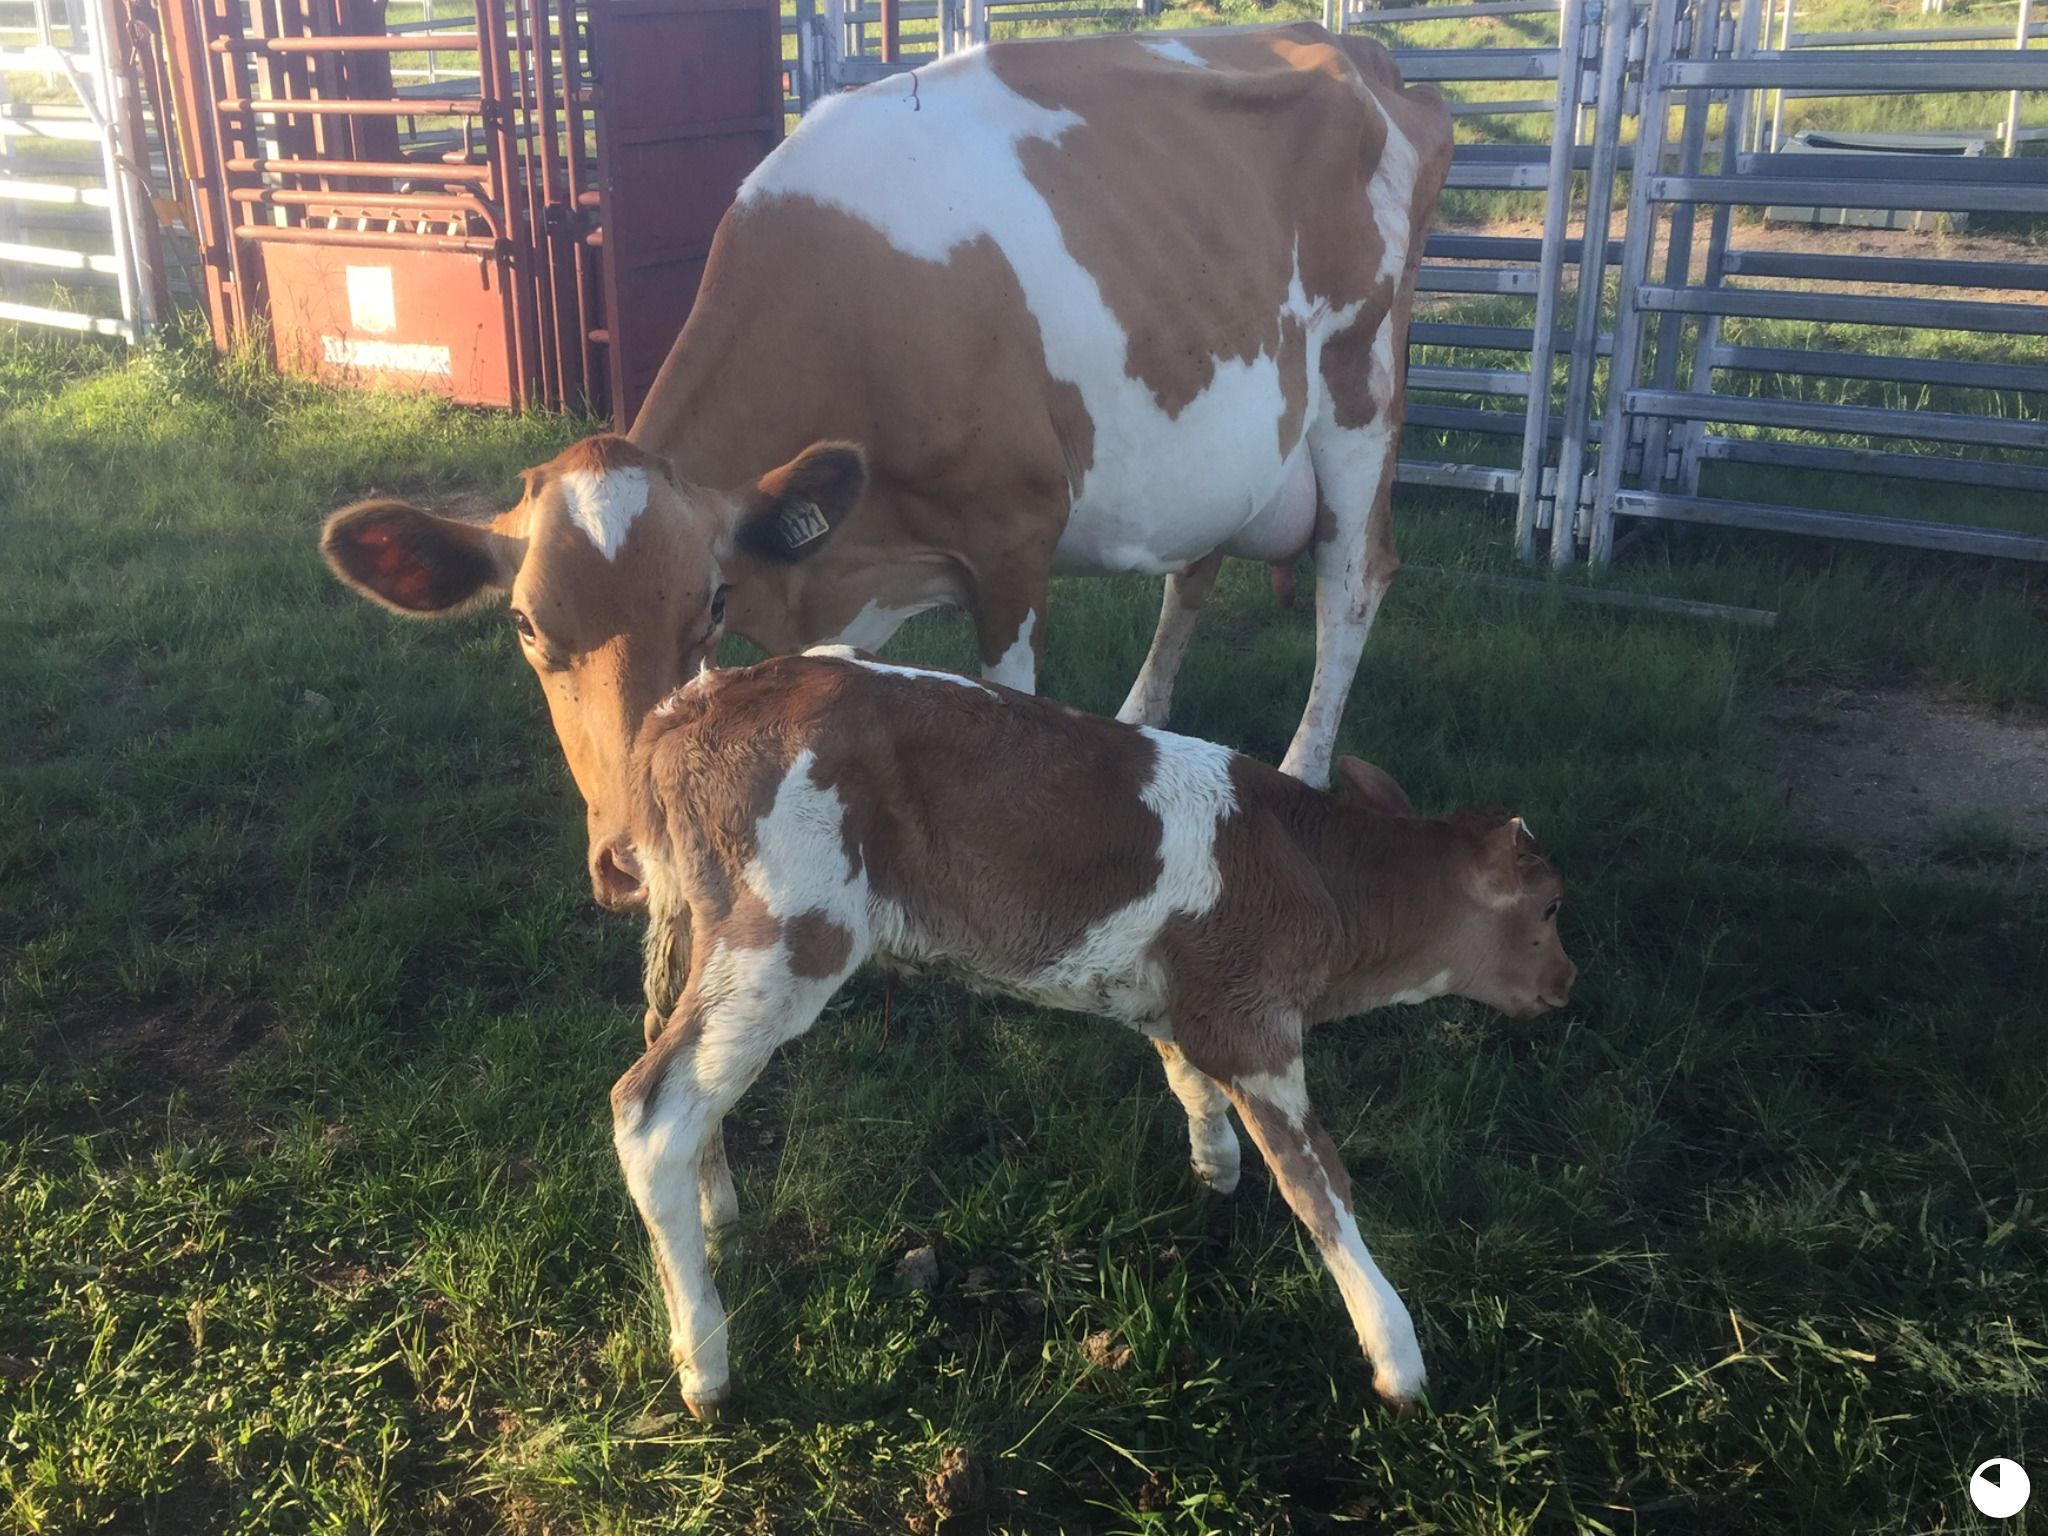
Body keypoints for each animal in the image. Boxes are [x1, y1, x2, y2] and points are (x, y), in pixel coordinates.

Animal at [319, 20, 1458, 913]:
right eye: (524, 626)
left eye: (707, 610)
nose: (635, 864)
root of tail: (1358, 54)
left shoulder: (1014, 536)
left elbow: (1010, 708)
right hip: (1227, 447)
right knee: (1197, 569)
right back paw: (1141, 716)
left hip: (1360, 397)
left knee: (1353, 580)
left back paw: (1304, 767)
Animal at [614, 647, 1572, 1417]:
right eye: (1553, 907)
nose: (1568, 981)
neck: (1321, 876)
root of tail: (693, 703)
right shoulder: (1254, 1024)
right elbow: (1319, 1185)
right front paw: (1398, 1355)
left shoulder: (1189, 1002)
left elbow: (1189, 1079)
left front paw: (1215, 1169)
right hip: (786, 935)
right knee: (650, 1112)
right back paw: (706, 1365)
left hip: (710, 934)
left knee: (680, 1068)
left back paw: (719, 1213)